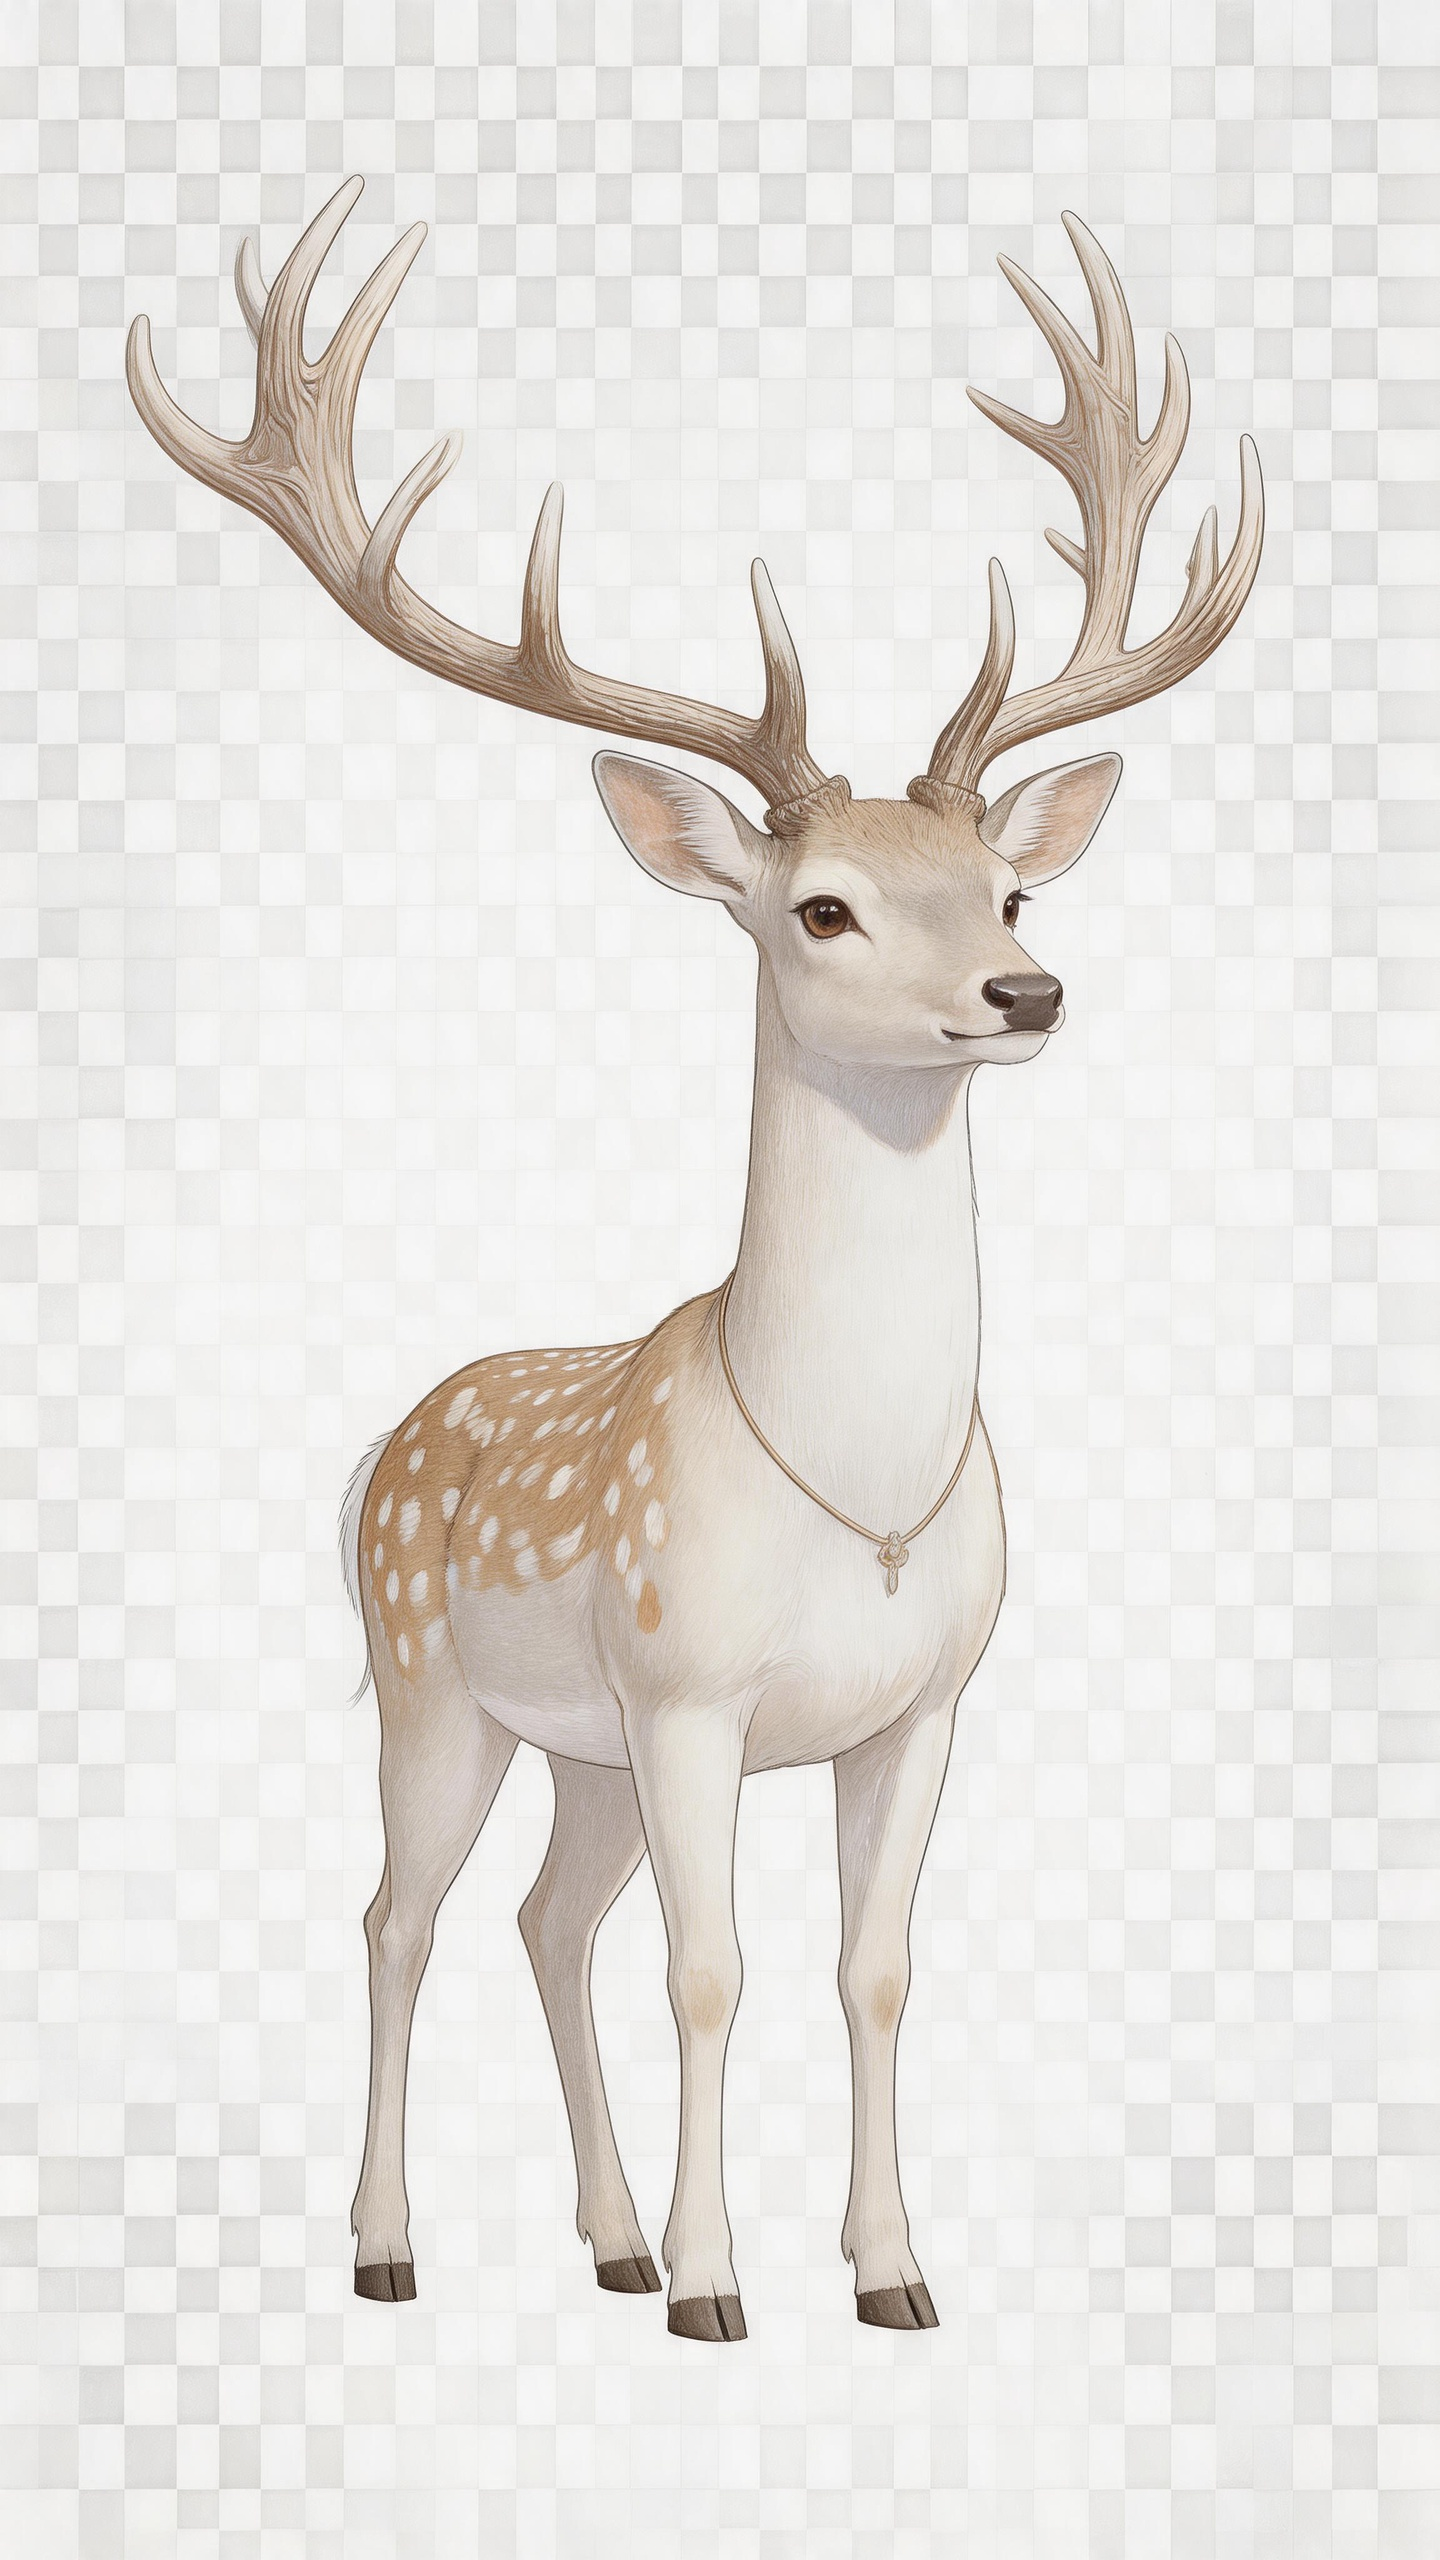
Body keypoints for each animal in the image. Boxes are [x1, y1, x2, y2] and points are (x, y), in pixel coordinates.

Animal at [128, 181, 1263, 2342]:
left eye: (1007, 888)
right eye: (820, 907)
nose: (1030, 990)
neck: (862, 1486)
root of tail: (387, 1435)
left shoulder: (923, 1699)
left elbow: (872, 1969)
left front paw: (890, 2273)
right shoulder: (685, 1690)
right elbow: (712, 1971)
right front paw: (726, 2290)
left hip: (566, 1746)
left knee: (539, 1917)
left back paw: (605, 2233)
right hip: (435, 1683)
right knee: (398, 1914)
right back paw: (397, 2245)